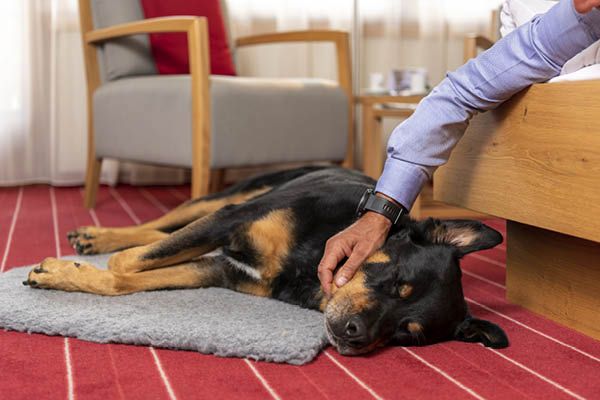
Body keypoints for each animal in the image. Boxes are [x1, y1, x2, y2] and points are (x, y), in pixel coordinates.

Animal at [25, 167, 508, 354]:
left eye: (407, 334)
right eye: (393, 279)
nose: (356, 336)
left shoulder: (224, 270)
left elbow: (127, 275)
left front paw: (67, 275)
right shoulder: (231, 222)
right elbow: (127, 264)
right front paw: (69, 267)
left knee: (161, 232)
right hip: (234, 198)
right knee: (165, 221)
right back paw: (98, 235)